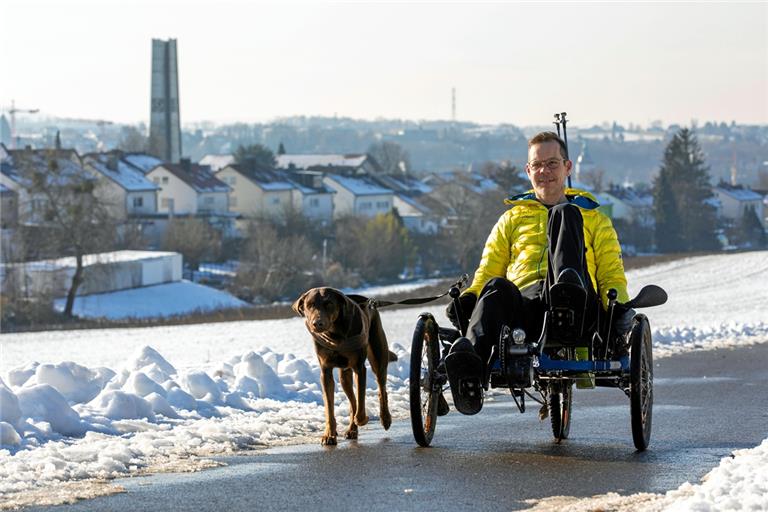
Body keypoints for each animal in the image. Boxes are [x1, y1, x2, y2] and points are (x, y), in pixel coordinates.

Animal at [292, 288, 400, 444]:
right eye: (309, 305)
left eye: (329, 304)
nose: (317, 323)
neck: (334, 334)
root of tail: (369, 302)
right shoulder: (325, 370)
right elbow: (329, 406)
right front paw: (329, 434)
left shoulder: (359, 368)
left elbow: (361, 403)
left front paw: (363, 419)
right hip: (344, 375)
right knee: (352, 399)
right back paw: (351, 429)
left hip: (378, 353)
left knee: (381, 387)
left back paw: (385, 418)